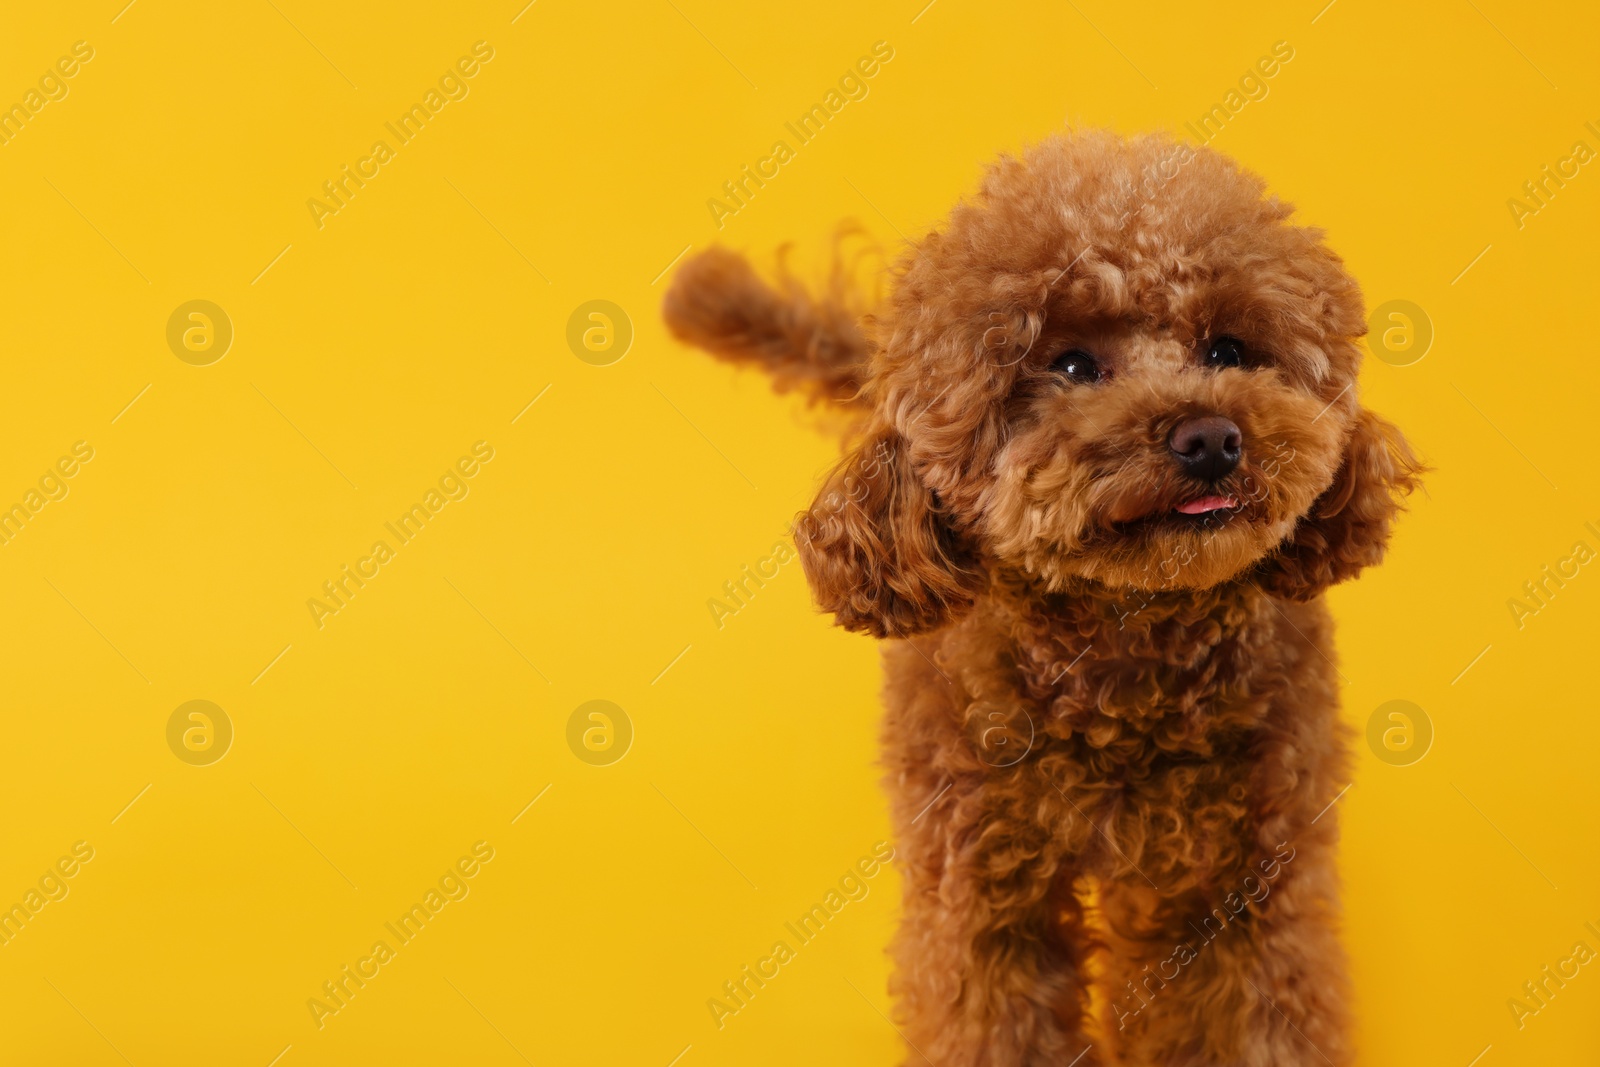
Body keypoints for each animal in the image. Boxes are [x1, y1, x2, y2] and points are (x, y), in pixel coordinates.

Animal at [662, 129, 1427, 1062]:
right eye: (1071, 365)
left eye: (1228, 349)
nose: (1209, 436)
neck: (1128, 657)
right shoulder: (985, 886)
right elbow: (993, 1011)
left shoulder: (1243, 881)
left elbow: (1244, 1016)